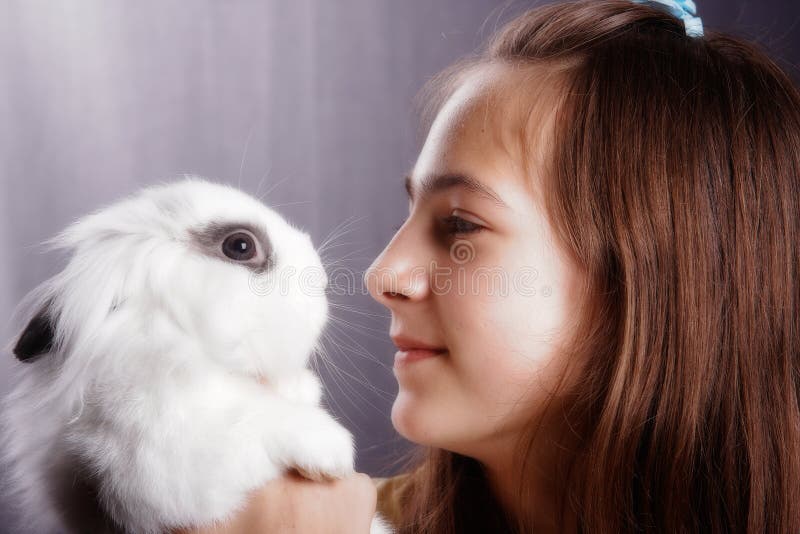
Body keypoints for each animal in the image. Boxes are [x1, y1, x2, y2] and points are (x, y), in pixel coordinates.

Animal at [0, 179, 390, 534]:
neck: (172, 342)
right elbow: (254, 419)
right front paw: (332, 451)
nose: (322, 279)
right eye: (240, 245)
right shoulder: (166, 461)